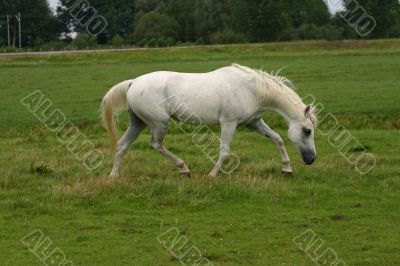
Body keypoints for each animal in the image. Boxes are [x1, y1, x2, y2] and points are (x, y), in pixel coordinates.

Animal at [101, 63, 318, 178]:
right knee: (156, 144)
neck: (251, 89)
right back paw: (184, 169)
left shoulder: (253, 123)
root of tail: (133, 83)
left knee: (122, 145)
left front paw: (287, 169)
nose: (311, 159)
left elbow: (278, 139)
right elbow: (224, 151)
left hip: (138, 122)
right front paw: (212, 174)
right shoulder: (229, 123)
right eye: (307, 130)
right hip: (159, 123)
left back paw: (114, 175)